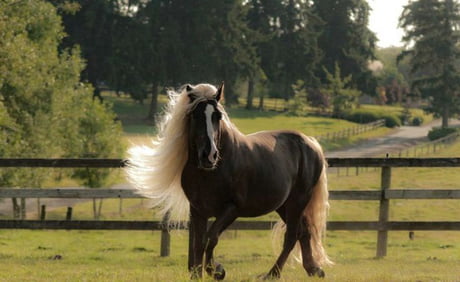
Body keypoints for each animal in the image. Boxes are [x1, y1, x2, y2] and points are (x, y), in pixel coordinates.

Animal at [126, 82, 330, 280]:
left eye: (218, 116)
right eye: (195, 115)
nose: (209, 156)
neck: (211, 172)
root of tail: (310, 143)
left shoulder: (232, 209)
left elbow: (211, 238)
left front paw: (216, 271)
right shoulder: (198, 210)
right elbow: (198, 243)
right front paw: (198, 274)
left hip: (298, 201)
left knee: (291, 236)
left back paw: (272, 274)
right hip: (284, 205)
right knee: (303, 232)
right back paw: (313, 269)